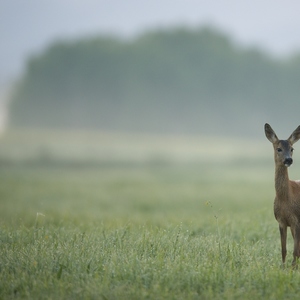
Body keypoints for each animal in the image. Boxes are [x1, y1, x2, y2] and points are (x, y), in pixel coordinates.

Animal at [264, 123, 300, 266]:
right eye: (278, 149)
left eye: (292, 148)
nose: (289, 160)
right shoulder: (281, 221)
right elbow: (284, 250)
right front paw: (283, 267)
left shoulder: (296, 221)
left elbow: (295, 252)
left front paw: (293, 268)